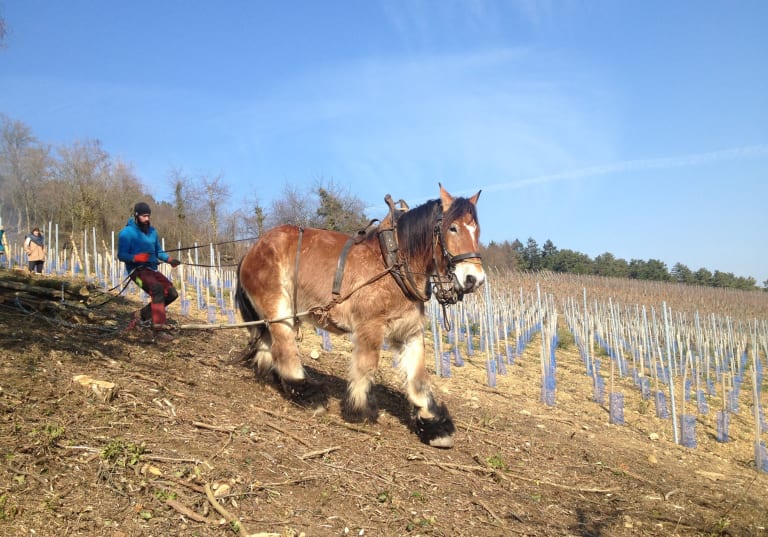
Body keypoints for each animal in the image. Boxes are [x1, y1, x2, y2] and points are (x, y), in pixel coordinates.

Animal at [236, 184, 486, 448]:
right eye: (453, 228)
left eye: (477, 231)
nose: (475, 279)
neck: (394, 263)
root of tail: (252, 249)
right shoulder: (370, 326)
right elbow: (366, 365)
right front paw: (360, 409)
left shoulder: (410, 331)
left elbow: (418, 377)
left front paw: (434, 425)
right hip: (278, 308)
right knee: (284, 347)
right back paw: (307, 393)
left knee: (267, 342)